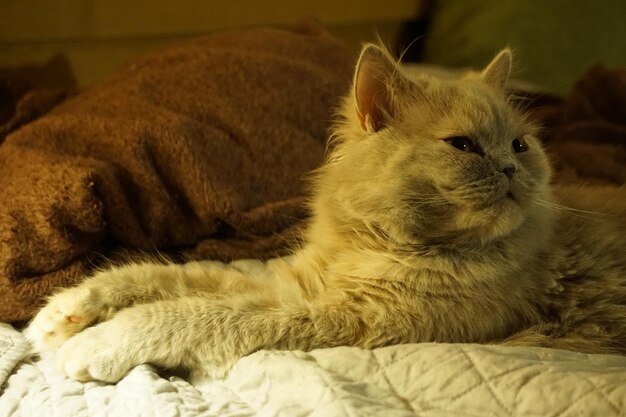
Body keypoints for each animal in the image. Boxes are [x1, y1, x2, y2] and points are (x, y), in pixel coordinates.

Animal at [24, 44, 624, 382]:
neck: (370, 245)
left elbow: (195, 313)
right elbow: (174, 276)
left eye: (520, 145)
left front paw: (98, 342)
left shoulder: (353, 320)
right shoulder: (291, 281)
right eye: (464, 146)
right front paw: (66, 312)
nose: (510, 168)